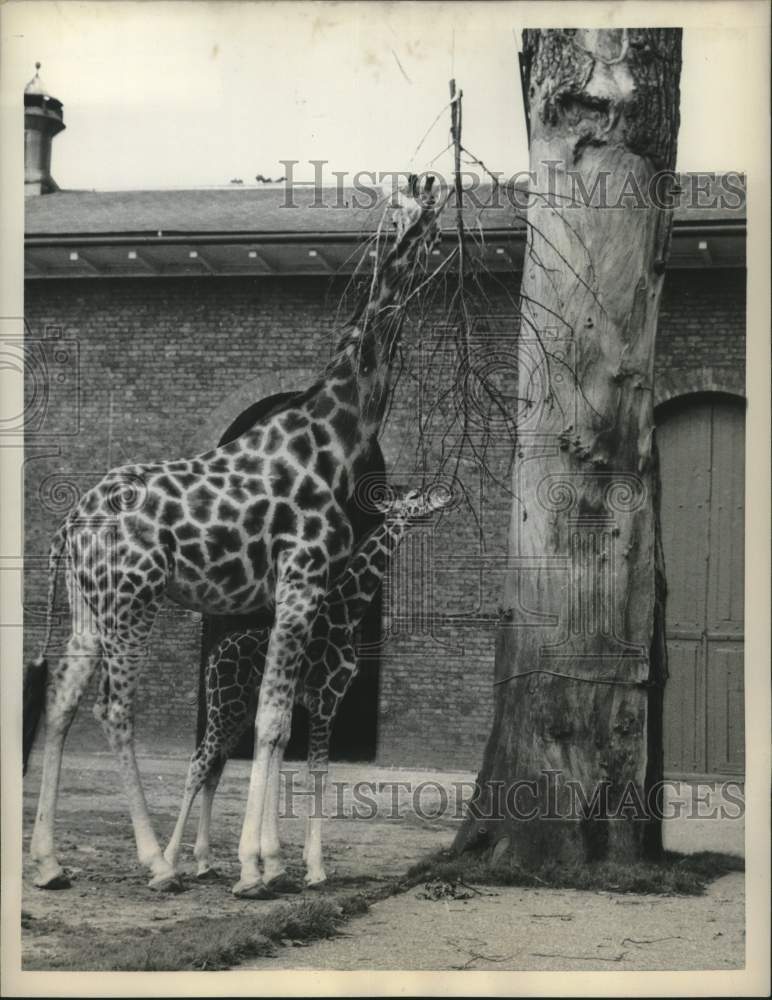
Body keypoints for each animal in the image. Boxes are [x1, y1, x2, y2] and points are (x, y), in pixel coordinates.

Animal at [163, 485, 450, 889]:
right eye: (412, 496)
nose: (443, 496)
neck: (346, 613)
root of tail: (214, 655)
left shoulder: (314, 701)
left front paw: (282, 862)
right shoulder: (326, 698)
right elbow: (318, 774)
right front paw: (315, 869)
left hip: (238, 709)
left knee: (215, 767)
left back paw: (204, 861)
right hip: (225, 704)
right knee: (199, 762)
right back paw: (169, 863)